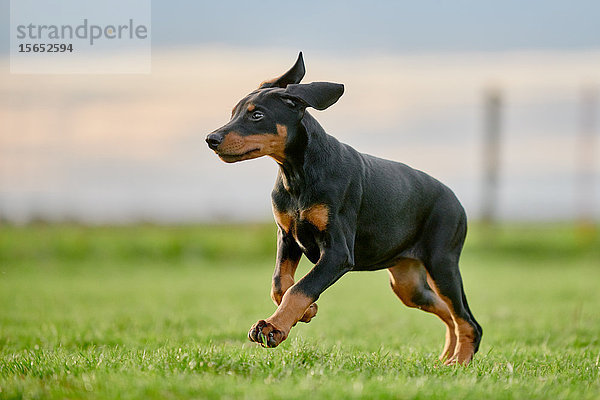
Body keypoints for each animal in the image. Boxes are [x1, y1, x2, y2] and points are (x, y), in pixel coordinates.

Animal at [206, 53, 482, 366]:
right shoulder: (287, 236)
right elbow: (281, 284)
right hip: (408, 283)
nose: (211, 139)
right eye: (234, 113)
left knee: (468, 320)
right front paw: (307, 312)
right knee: (449, 313)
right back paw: (448, 357)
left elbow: (301, 287)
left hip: (442, 263)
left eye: (257, 115)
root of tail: (455, 199)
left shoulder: (338, 253)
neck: (298, 174)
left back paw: (459, 362)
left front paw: (274, 327)